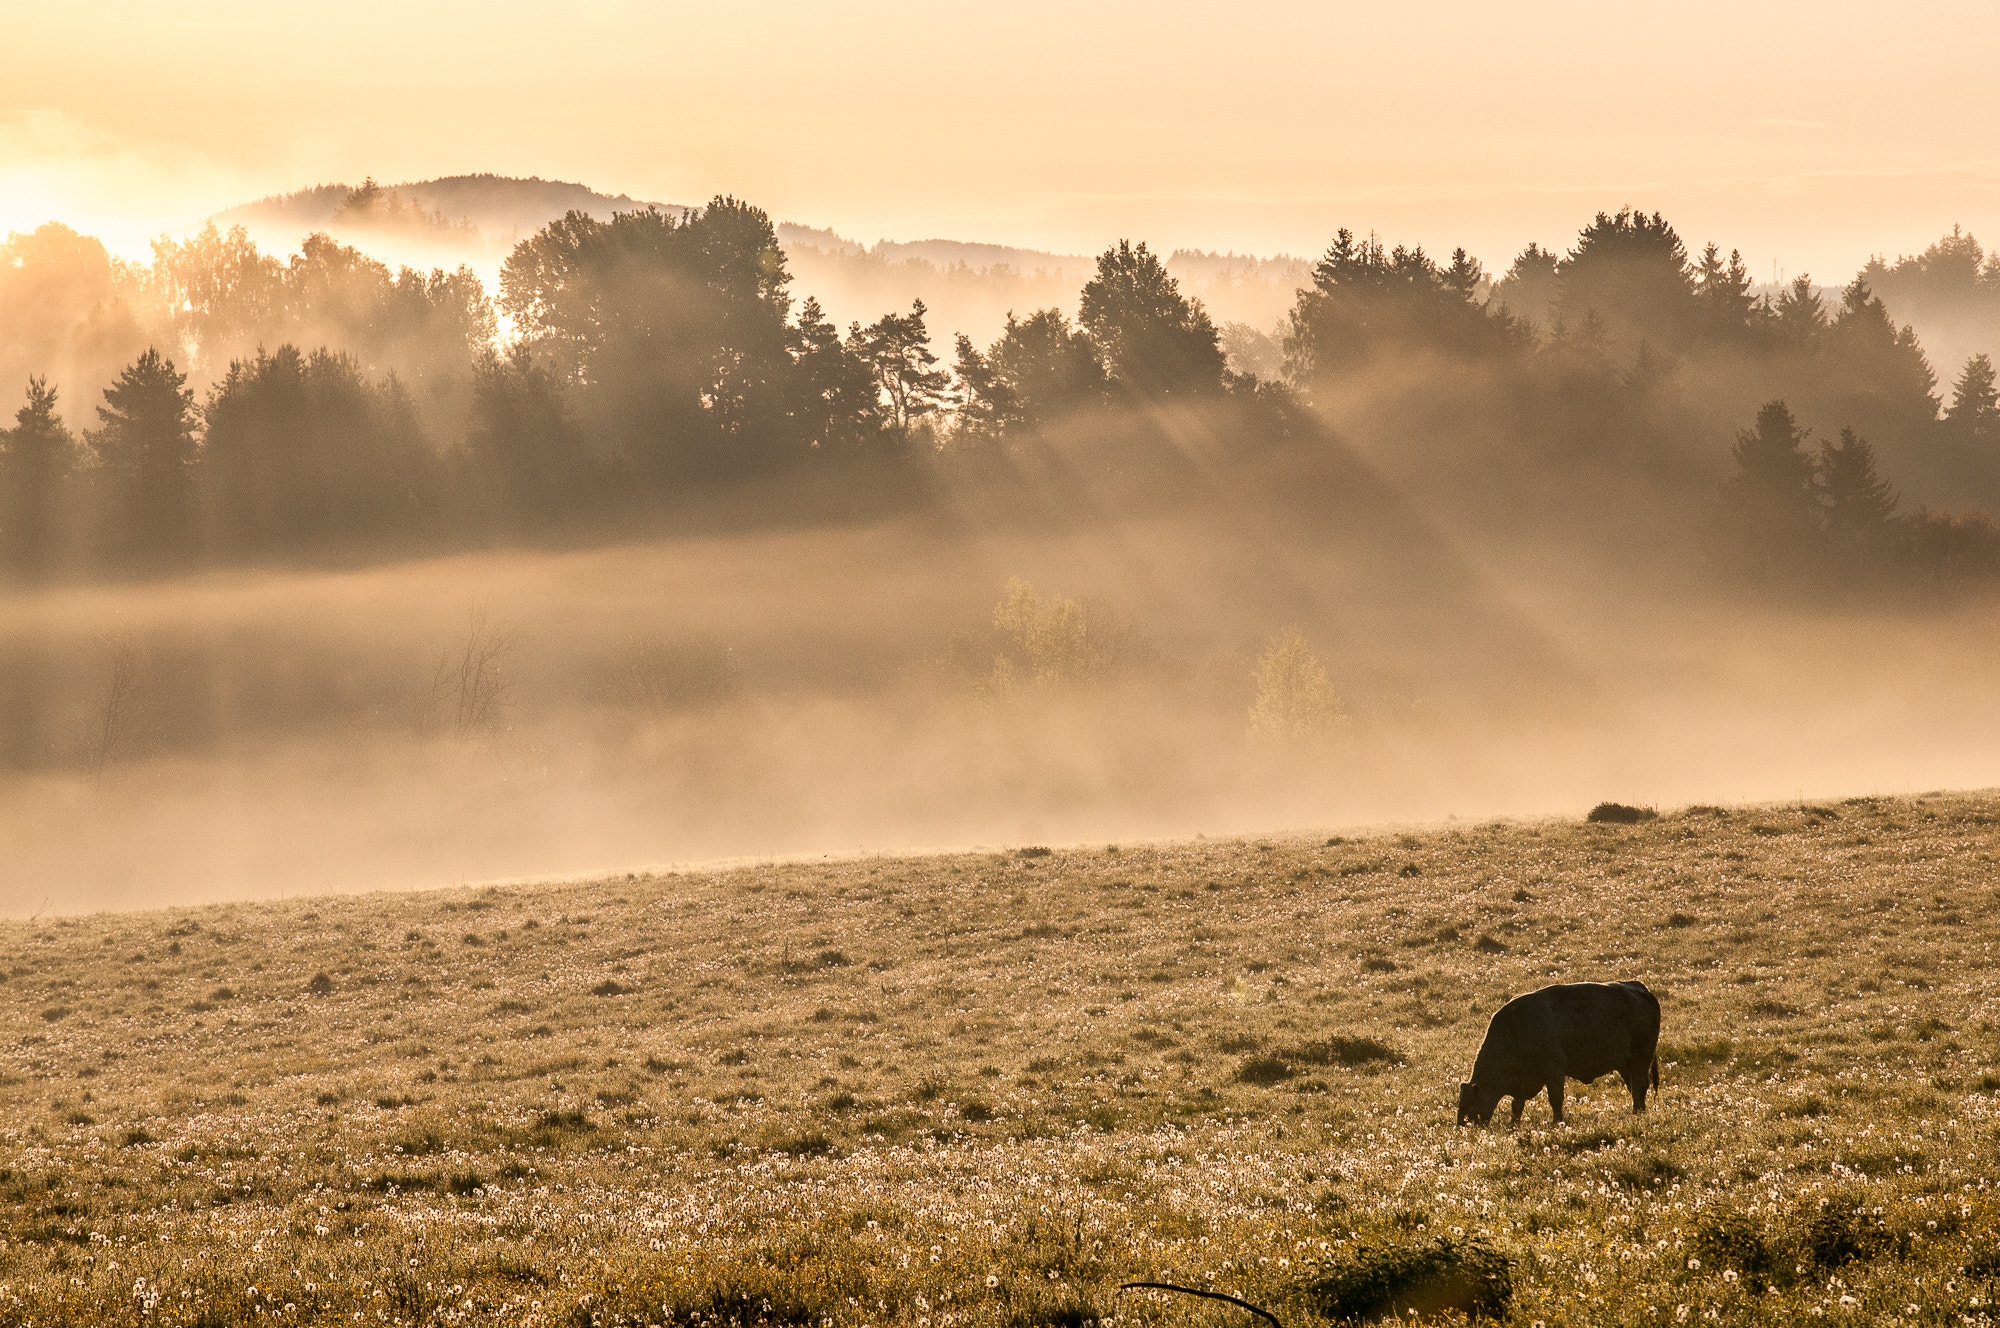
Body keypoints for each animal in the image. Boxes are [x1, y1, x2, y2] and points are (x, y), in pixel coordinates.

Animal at [1456, 980, 1656, 1128]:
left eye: (1470, 1104)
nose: (1461, 1127)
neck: (1515, 1030)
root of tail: (1640, 988)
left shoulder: (1554, 1071)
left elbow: (1556, 1099)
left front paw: (1557, 1123)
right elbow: (1517, 1105)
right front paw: (1513, 1124)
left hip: (1641, 1058)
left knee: (1639, 1086)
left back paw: (1639, 1113)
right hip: (1626, 1064)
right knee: (1634, 1088)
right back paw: (1638, 1112)